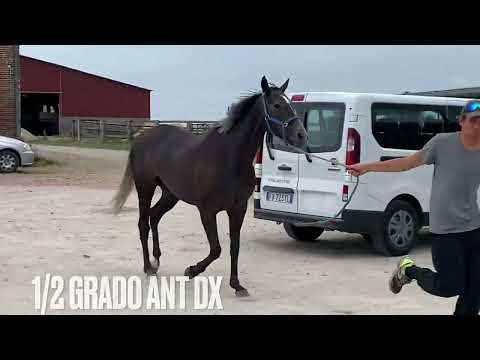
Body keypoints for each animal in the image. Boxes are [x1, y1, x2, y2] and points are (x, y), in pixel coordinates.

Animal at [112, 76, 308, 296]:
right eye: (276, 105)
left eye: (290, 105)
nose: (302, 135)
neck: (230, 158)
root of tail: (141, 139)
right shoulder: (207, 211)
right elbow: (216, 249)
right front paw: (191, 270)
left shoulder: (238, 209)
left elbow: (234, 247)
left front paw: (237, 285)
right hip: (145, 188)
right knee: (143, 223)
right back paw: (148, 267)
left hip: (170, 194)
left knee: (154, 217)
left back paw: (156, 261)